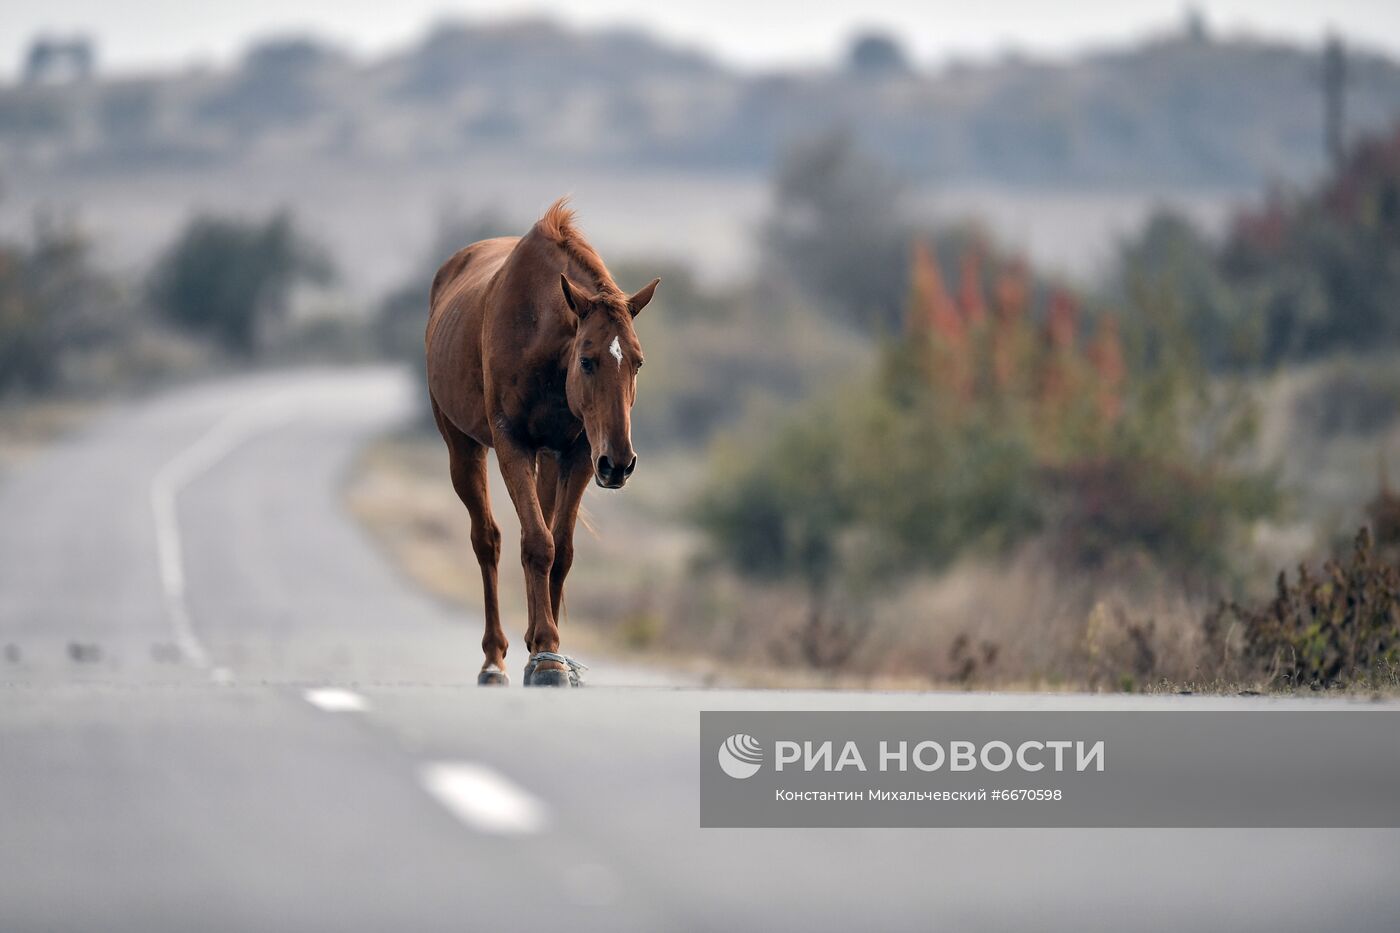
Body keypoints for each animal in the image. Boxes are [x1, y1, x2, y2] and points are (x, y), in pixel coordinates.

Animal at [424, 198, 660, 687]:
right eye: (587, 359)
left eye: (638, 362)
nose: (620, 464)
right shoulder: (512, 444)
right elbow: (536, 543)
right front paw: (547, 655)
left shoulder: (579, 454)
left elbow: (560, 548)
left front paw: (547, 651)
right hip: (462, 447)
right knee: (487, 540)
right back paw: (494, 660)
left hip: (552, 459)